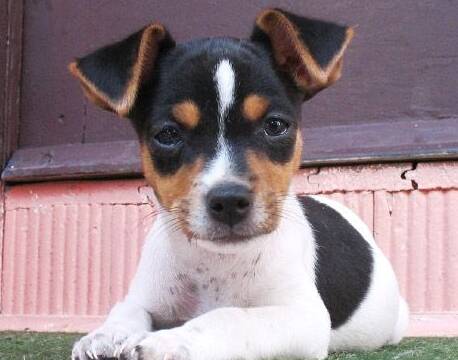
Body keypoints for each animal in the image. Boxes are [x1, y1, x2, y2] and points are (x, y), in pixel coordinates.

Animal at [69, 8, 408, 360]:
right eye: (168, 134)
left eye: (275, 126)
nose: (229, 201)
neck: (215, 263)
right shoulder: (147, 296)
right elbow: (127, 309)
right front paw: (106, 335)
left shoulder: (302, 316)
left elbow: (230, 316)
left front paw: (172, 340)